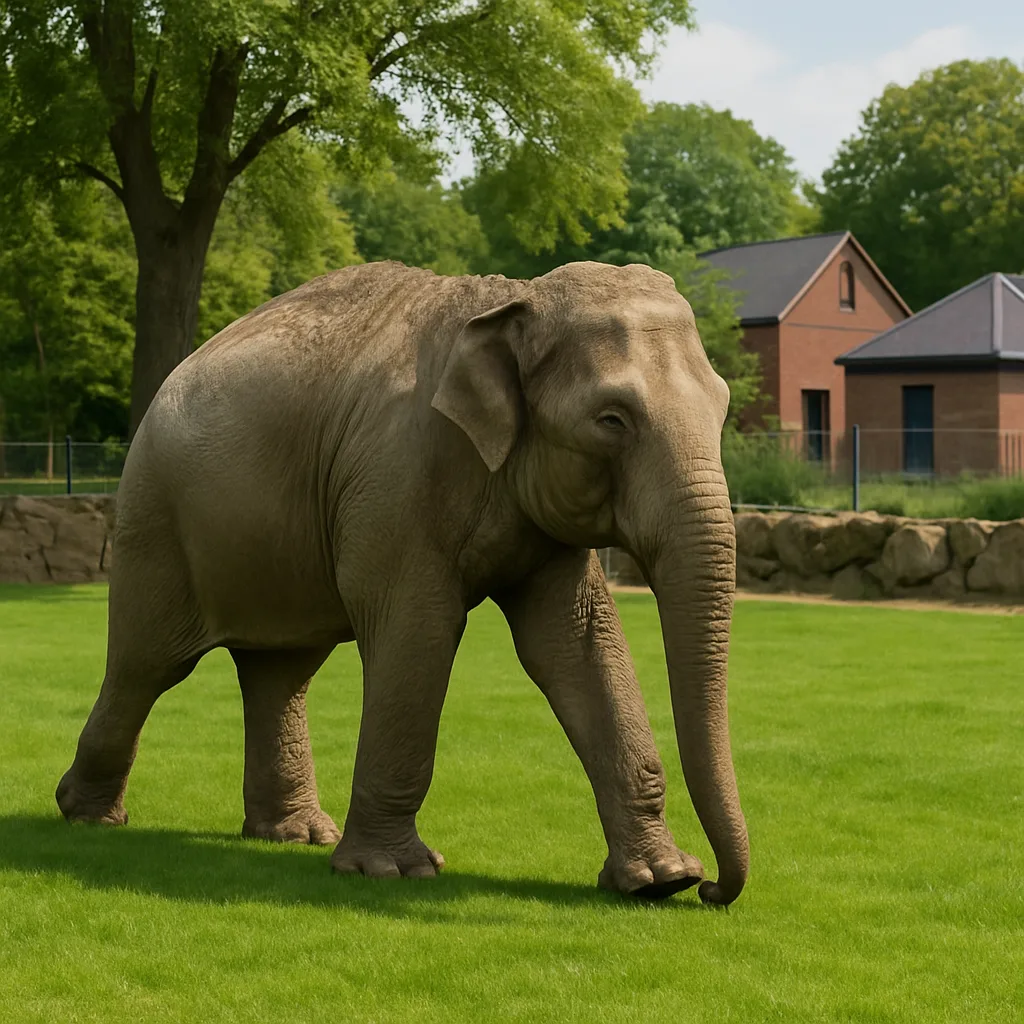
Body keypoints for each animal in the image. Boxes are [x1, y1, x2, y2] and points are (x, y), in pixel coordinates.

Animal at [55, 259, 749, 906]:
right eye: (611, 419)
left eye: (722, 408)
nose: (716, 889)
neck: (512, 298)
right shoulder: (395, 476)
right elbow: (421, 630)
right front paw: (393, 871)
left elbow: (575, 643)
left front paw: (659, 882)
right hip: (157, 520)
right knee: (148, 665)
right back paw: (87, 816)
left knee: (280, 671)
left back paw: (295, 835)